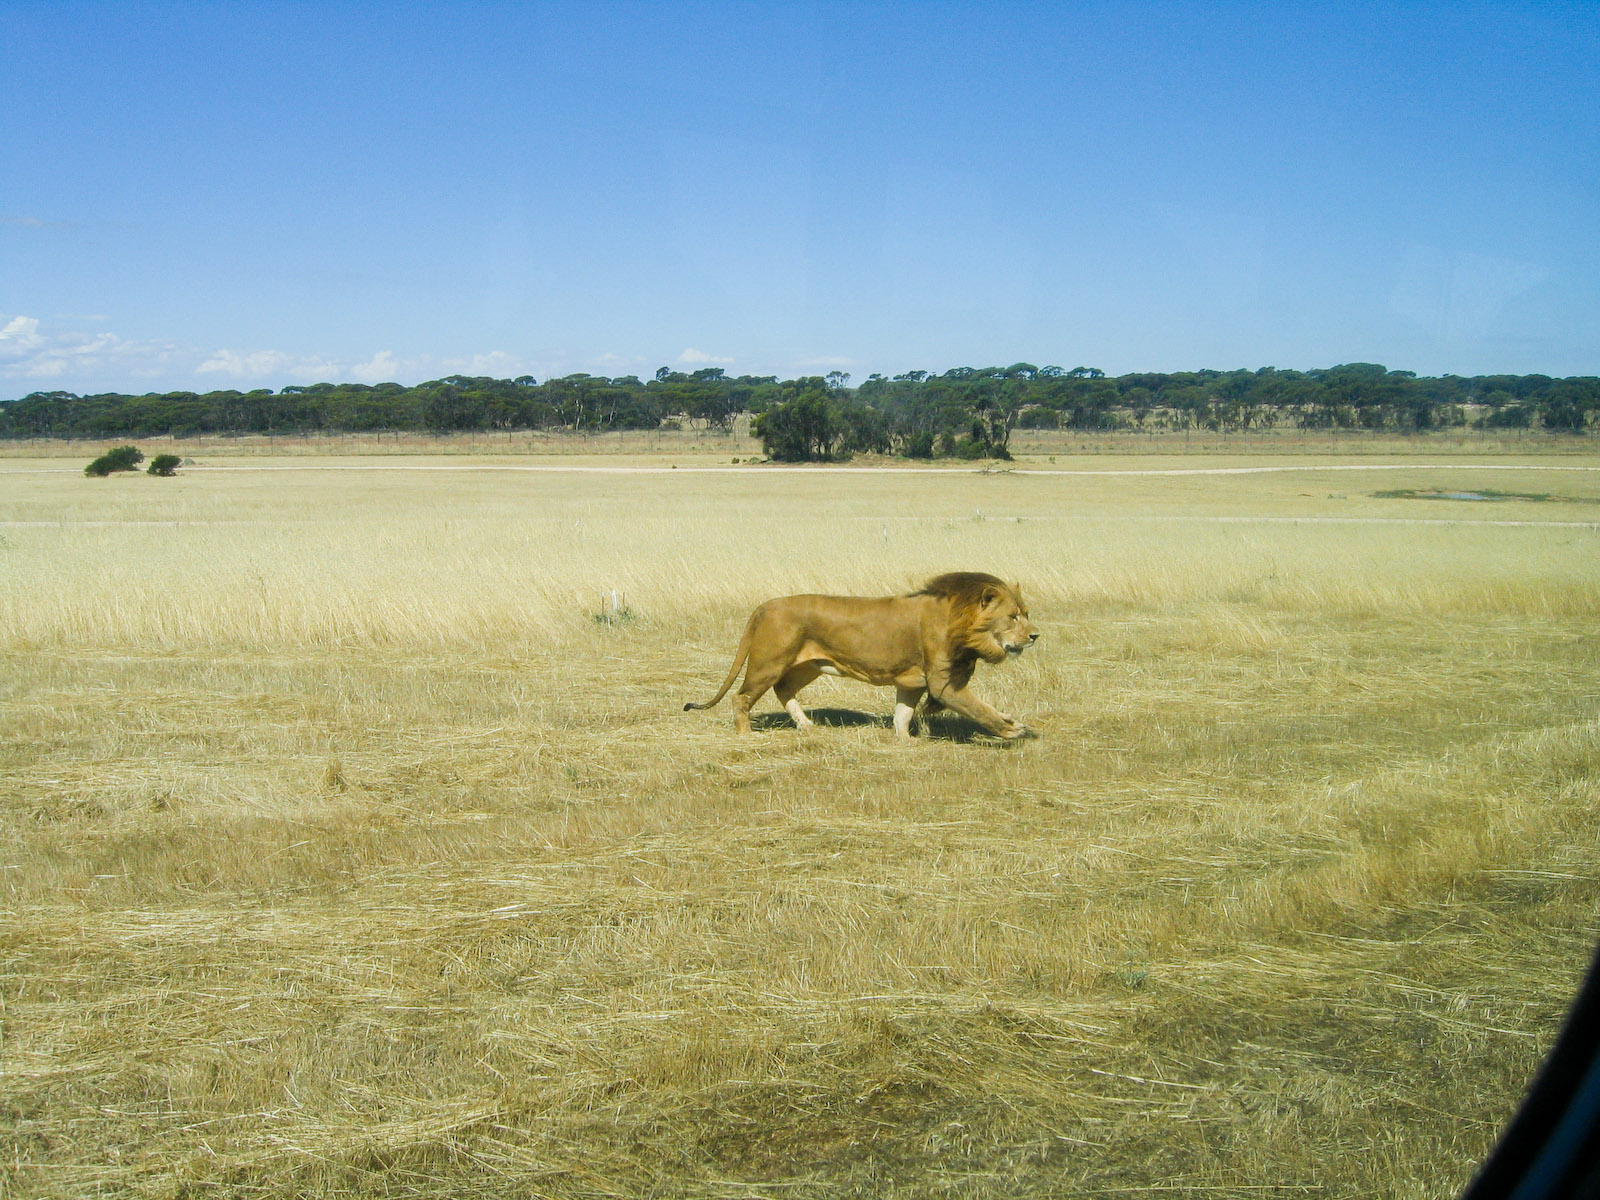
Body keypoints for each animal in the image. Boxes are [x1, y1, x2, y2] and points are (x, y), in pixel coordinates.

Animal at [684, 572, 1038, 739]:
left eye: (1026, 614)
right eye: (1012, 617)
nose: (1035, 635)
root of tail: (764, 605)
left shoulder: (912, 682)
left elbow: (902, 714)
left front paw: (907, 740)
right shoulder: (943, 684)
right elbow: (980, 709)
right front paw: (1013, 730)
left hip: (808, 666)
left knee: (784, 690)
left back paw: (807, 727)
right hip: (768, 663)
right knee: (741, 697)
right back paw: (747, 735)